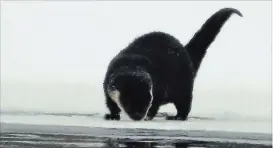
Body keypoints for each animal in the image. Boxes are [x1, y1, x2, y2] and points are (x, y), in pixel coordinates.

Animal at [103, 7, 241, 120]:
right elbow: (111, 104)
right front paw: (112, 115)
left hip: (184, 84)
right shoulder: (107, 84)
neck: (132, 63)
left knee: (185, 103)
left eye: (147, 102)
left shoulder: (158, 88)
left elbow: (156, 104)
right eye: (126, 102)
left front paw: (149, 116)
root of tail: (186, 52)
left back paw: (177, 117)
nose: (138, 117)